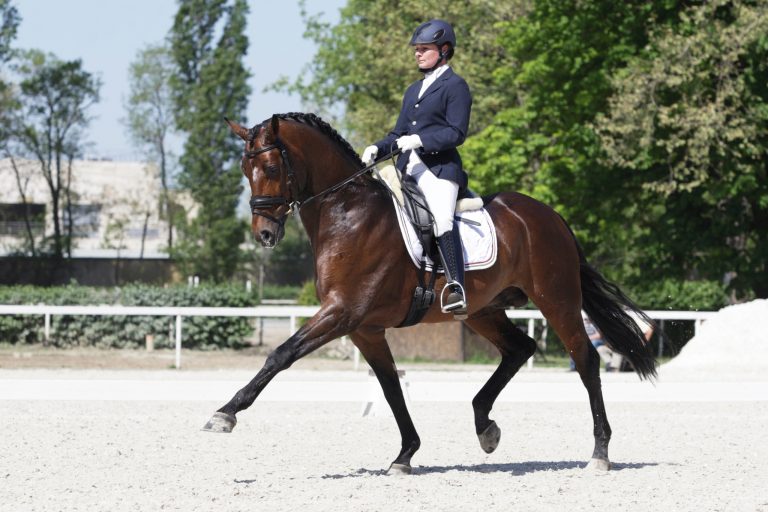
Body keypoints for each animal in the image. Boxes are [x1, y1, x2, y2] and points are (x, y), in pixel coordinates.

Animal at [202, 112, 657, 474]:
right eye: (244, 168)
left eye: (271, 167)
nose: (263, 234)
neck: (347, 213)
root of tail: (550, 215)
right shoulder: (364, 329)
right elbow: (390, 388)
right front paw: (405, 455)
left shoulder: (341, 313)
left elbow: (280, 355)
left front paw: (225, 414)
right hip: (483, 310)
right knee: (520, 349)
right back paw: (485, 426)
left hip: (556, 300)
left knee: (586, 360)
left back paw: (599, 454)